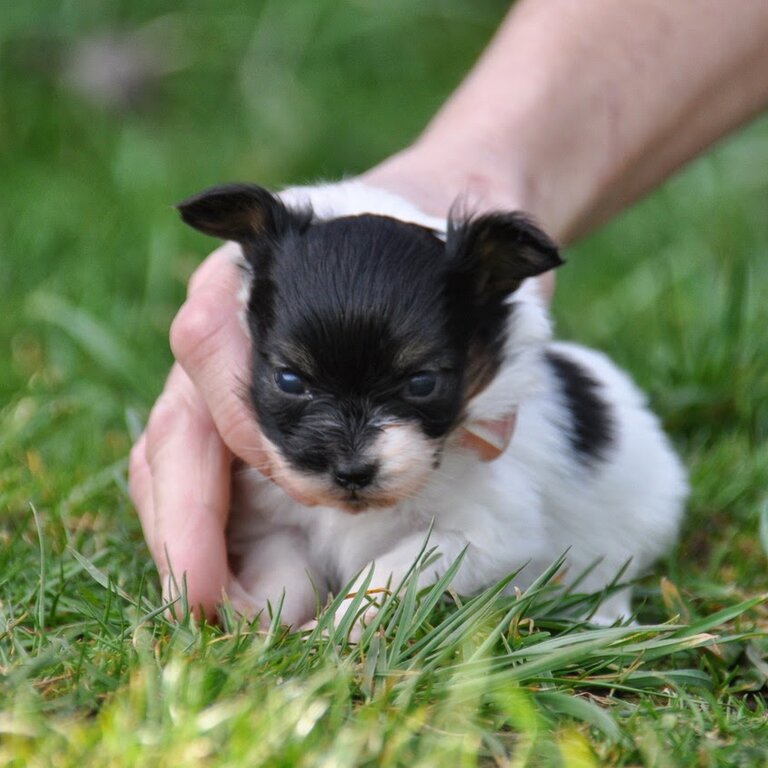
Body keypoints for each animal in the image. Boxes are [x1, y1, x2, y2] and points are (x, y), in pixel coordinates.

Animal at [177, 182, 688, 632]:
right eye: (289, 380)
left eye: (422, 383)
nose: (351, 472)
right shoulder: (279, 523)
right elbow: (285, 574)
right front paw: (259, 625)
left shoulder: (478, 536)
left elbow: (386, 574)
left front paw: (331, 632)